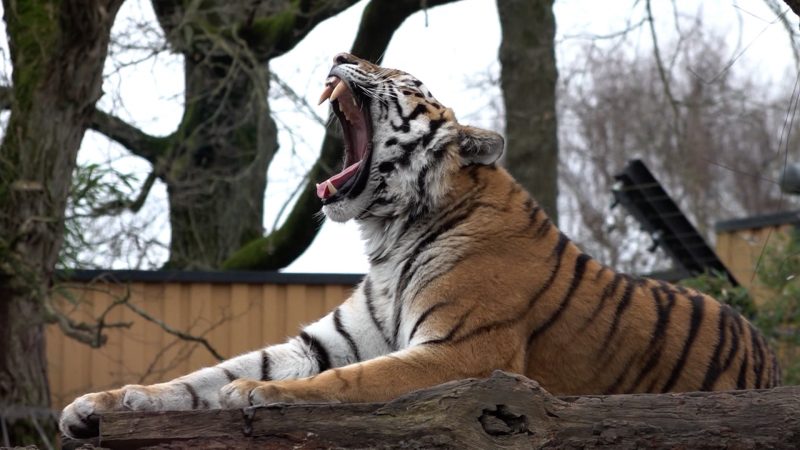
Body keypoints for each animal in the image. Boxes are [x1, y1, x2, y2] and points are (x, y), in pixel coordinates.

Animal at [59, 52, 780, 440]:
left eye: (398, 75)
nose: (343, 53)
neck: (387, 236)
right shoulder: (323, 341)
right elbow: (207, 375)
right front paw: (103, 404)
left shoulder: (465, 352)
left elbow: (349, 381)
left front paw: (259, 396)